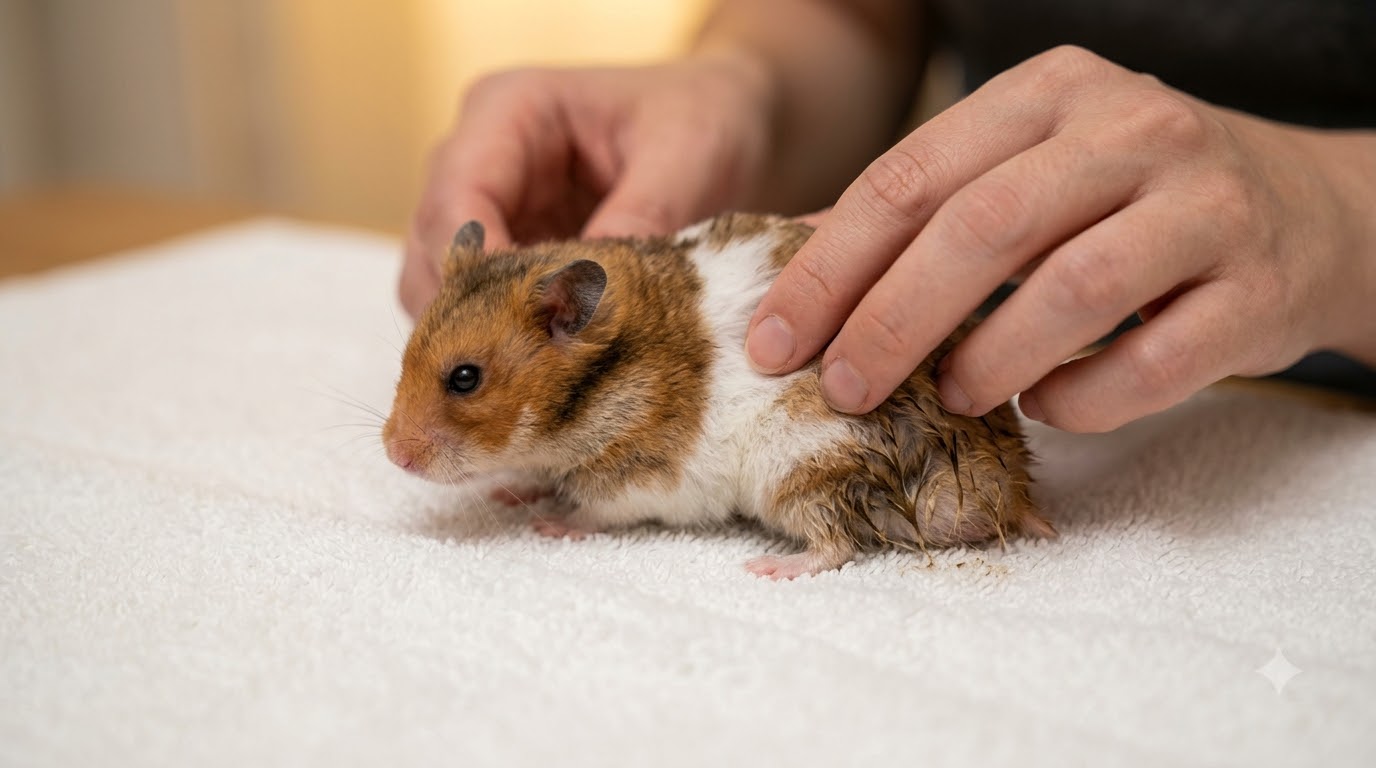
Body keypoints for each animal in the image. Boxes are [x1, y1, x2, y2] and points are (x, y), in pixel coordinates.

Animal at [383, 213, 1053, 579]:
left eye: (464, 378)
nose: (393, 456)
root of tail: (1009, 493)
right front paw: (512, 491)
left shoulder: (638, 479)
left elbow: (592, 512)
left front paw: (550, 524)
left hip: (805, 469)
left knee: (837, 545)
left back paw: (771, 568)